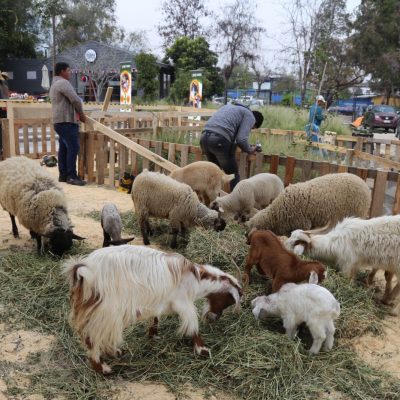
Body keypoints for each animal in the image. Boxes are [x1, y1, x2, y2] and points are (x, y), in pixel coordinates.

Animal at [63, 245, 244, 374]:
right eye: (228, 300)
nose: (214, 318)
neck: (198, 279)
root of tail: (82, 270)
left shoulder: (159, 300)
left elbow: (155, 317)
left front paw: (153, 335)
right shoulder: (183, 302)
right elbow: (193, 324)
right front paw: (203, 350)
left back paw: (114, 352)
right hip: (105, 311)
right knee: (92, 338)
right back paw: (103, 368)